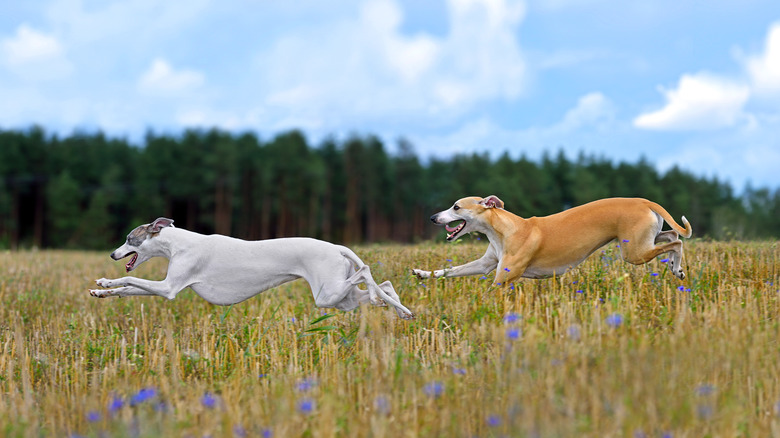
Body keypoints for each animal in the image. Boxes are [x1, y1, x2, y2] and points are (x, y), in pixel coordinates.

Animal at [90, 218, 414, 318]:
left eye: (129, 238)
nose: (112, 254)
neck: (178, 243)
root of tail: (336, 247)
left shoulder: (169, 288)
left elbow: (133, 279)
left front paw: (106, 282)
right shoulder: (162, 288)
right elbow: (128, 289)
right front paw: (102, 290)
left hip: (327, 293)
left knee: (366, 272)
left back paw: (385, 299)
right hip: (340, 299)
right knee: (382, 285)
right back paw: (397, 307)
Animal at [412, 197, 692, 286]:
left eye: (456, 207)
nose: (433, 217)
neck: (503, 228)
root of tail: (644, 201)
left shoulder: (505, 276)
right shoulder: (486, 263)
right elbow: (449, 270)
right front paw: (422, 273)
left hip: (633, 252)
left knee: (677, 243)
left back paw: (677, 267)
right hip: (643, 240)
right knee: (672, 236)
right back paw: (674, 267)